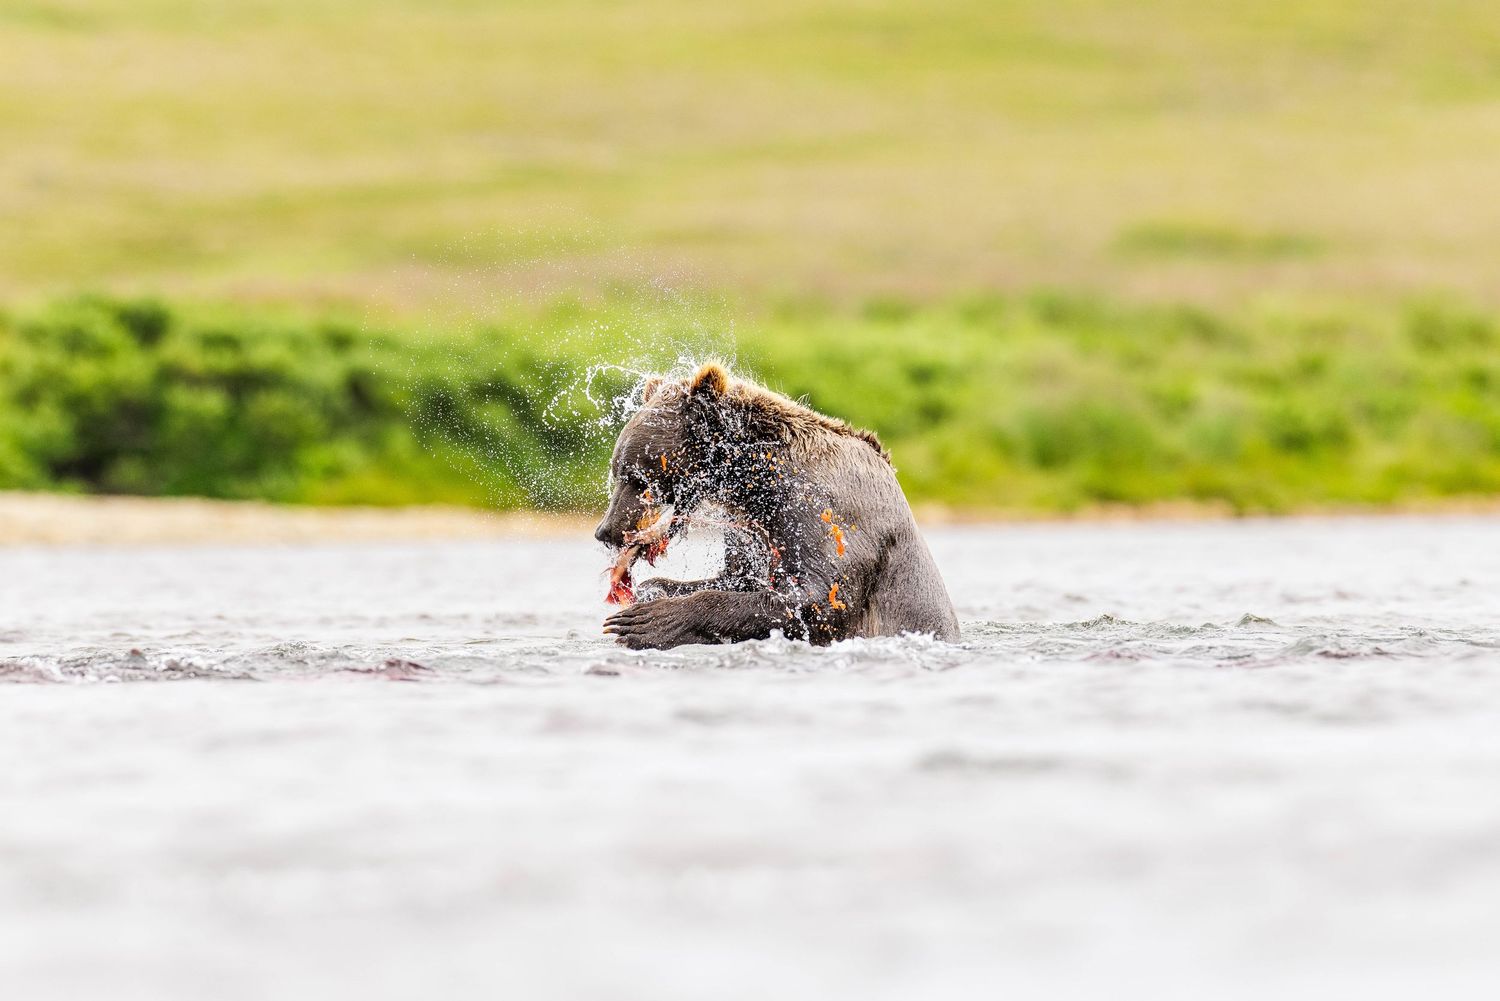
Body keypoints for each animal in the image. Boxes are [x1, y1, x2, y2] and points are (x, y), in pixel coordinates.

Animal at [596, 362, 960, 649]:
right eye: (617, 471)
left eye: (639, 478)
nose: (606, 530)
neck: (760, 479)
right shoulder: (752, 527)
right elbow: (737, 576)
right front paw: (649, 592)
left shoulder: (827, 513)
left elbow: (820, 601)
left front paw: (643, 621)